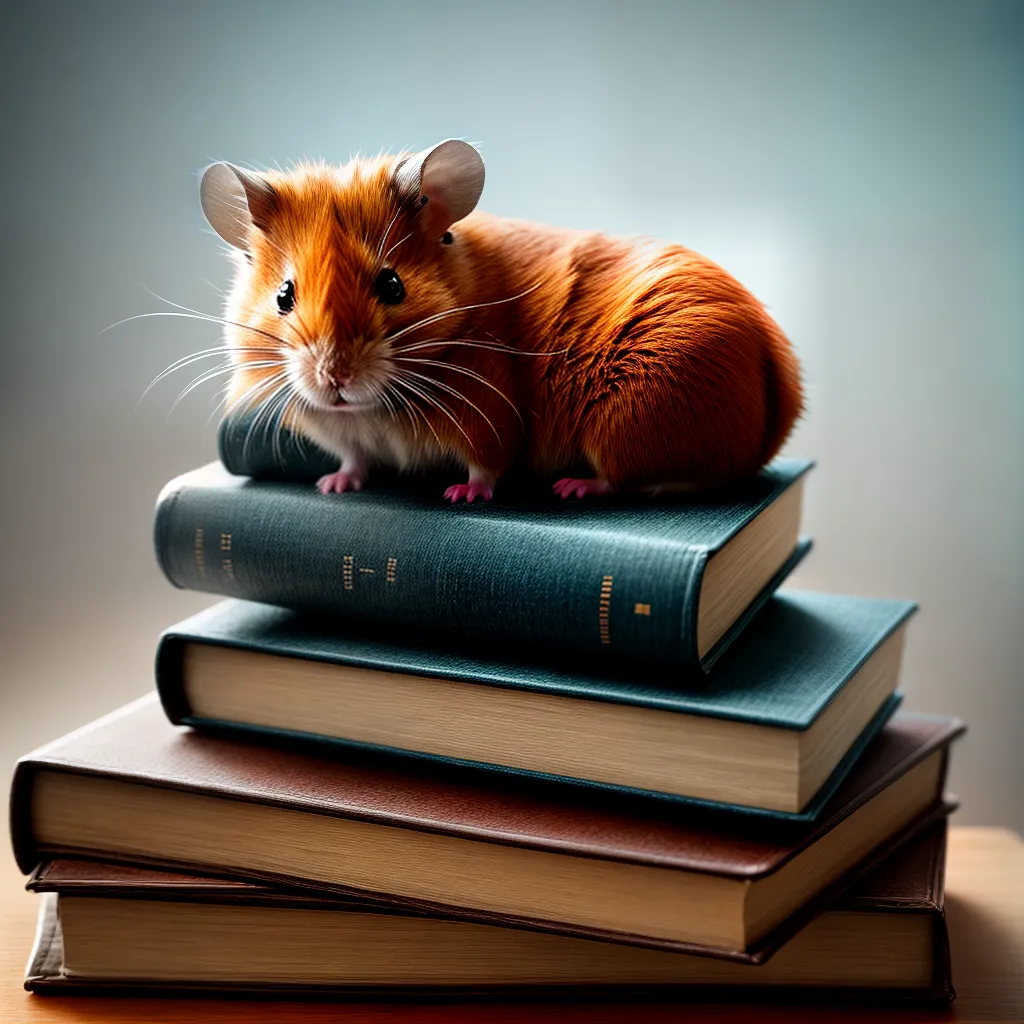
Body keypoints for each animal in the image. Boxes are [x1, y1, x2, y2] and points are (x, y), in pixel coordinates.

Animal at [200, 139, 802, 502]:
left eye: (392, 285)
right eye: (284, 295)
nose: (335, 380)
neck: (373, 410)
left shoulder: (486, 416)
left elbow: (486, 466)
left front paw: (461, 496)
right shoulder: (345, 435)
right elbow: (354, 460)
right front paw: (333, 485)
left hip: (627, 423)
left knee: (637, 480)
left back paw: (574, 488)